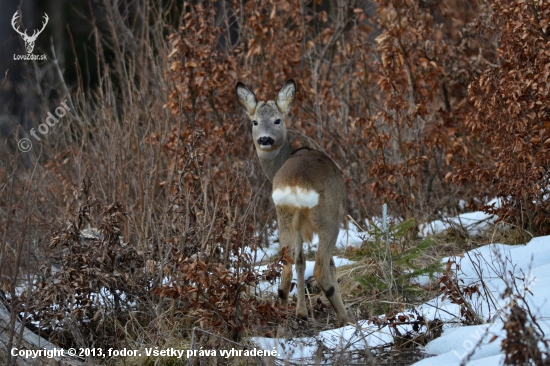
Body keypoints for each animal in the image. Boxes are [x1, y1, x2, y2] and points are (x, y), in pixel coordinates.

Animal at [235, 79, 352, 326]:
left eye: (277, 120)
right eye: (255, 121)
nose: (265, 139)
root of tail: (297, 184)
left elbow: (299, 261)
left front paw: (301, 312)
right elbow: (329, 264)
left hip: (284, 216)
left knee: (286, 272)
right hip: (327, 216)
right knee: (321, 269)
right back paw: (347, 319)